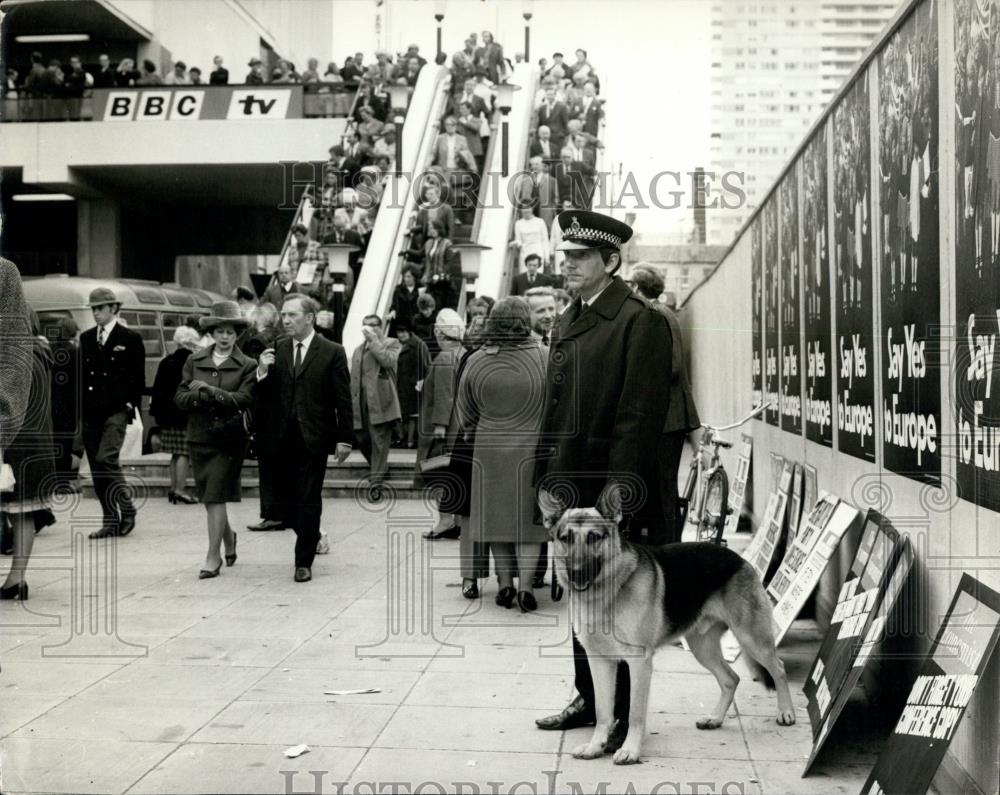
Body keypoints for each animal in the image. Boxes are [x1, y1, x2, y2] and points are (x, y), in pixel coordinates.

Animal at [540, 486, 796, 764]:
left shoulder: (639, 664)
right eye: (565, 538)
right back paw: (715, 719)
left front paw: (630, 750)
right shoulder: (599, 661)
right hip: (702, 648)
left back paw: (786, 712)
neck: (609, 592)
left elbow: (635, 713)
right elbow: (602, 711)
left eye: (594, 537)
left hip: (752, 639)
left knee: (779, 668)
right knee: (731, 679)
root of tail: (740, 559)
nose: (576, 572)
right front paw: (595, 746)